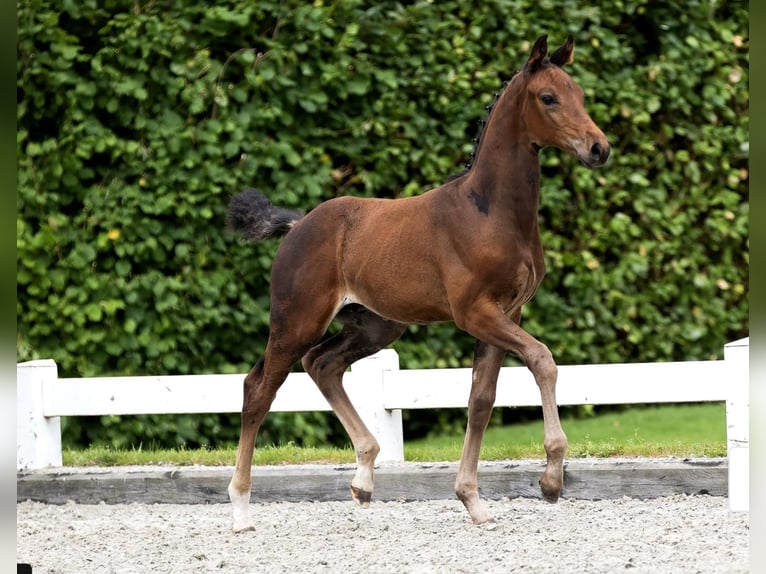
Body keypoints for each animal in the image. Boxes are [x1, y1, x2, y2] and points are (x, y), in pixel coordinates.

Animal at [224, 33, 612, 532]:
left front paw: (472, 500)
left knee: (322, 365)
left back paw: (363, 478)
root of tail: (296, 226)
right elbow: (542, 359)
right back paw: (240, 509)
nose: (599, 148)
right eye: (548, 98)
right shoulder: (475, 313)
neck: (490, 211)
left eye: (579, 94)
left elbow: (481, 399)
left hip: (376, 326)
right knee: (259, 389)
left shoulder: (506, 312)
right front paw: (550, 479)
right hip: (297, 322)